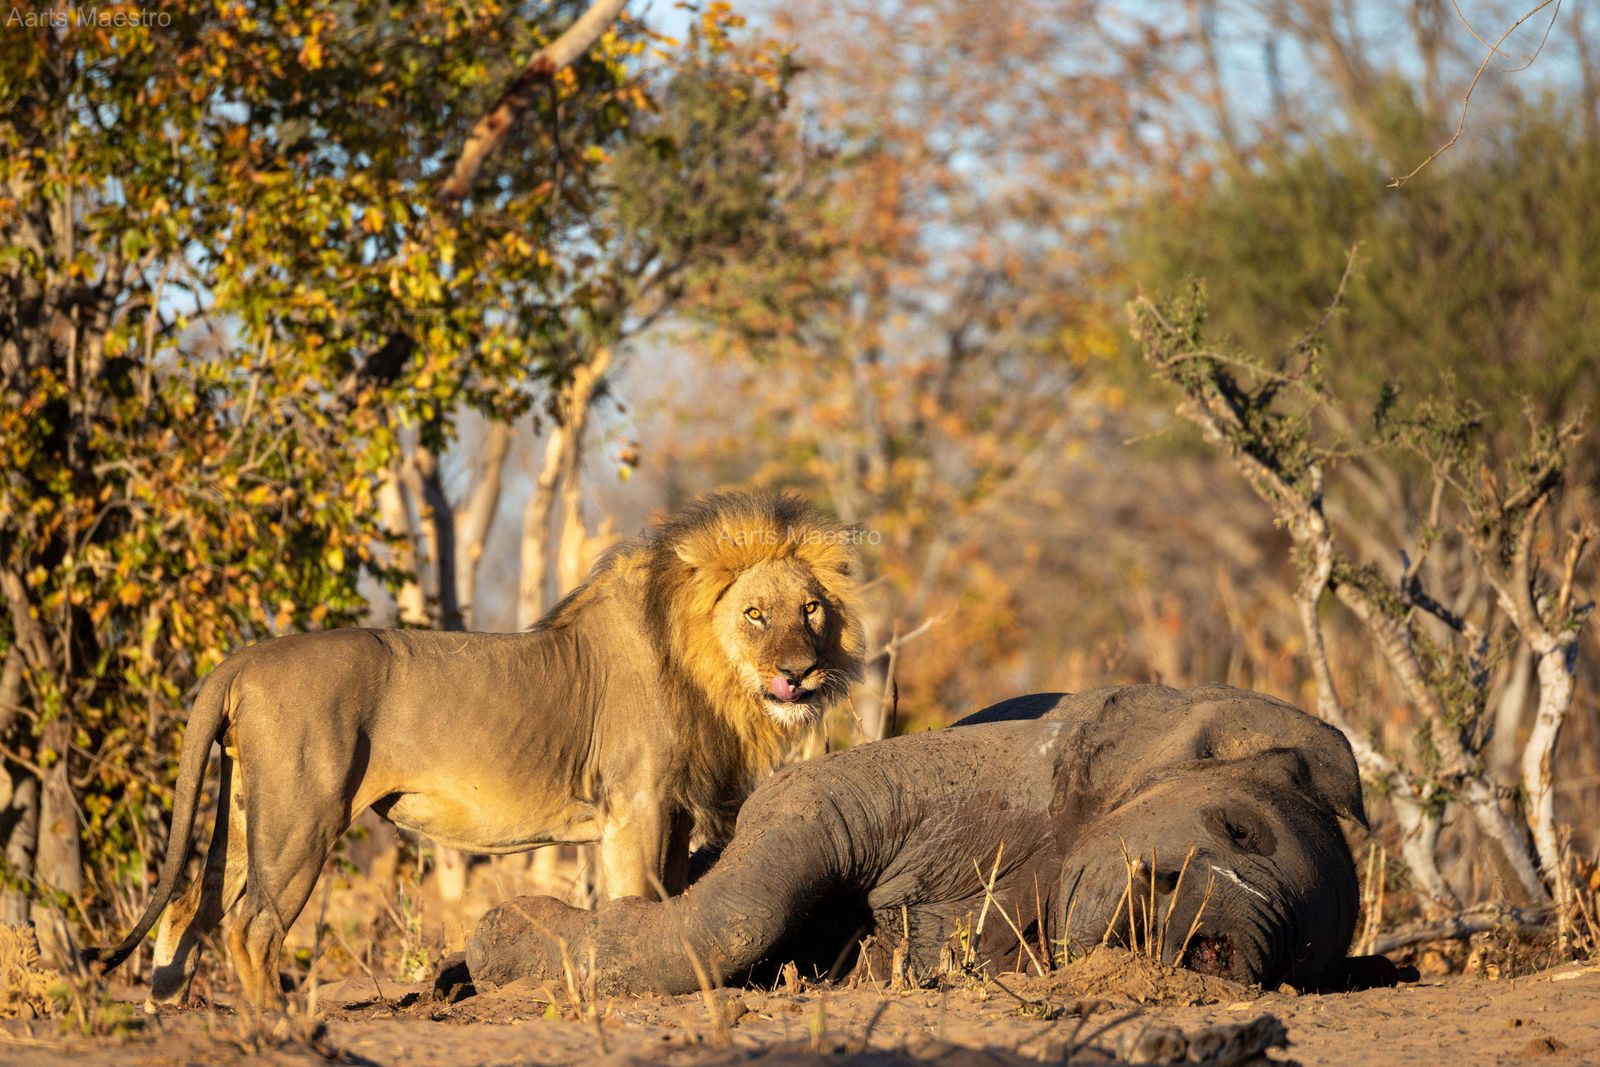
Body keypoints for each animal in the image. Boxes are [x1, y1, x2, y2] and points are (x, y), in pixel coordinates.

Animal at [87, 489, 865, 1015]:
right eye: (754, 614)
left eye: (811, 610)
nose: (798, 673)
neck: (705, 671)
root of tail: (243, 657)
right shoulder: (635, 805)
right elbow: (636, 900)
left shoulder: (671, 813)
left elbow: (669, 903)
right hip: (301, 815)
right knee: (252, 924)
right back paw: (274, 1020)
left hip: (249, 807)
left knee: (189, 906)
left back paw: (169, 1012)